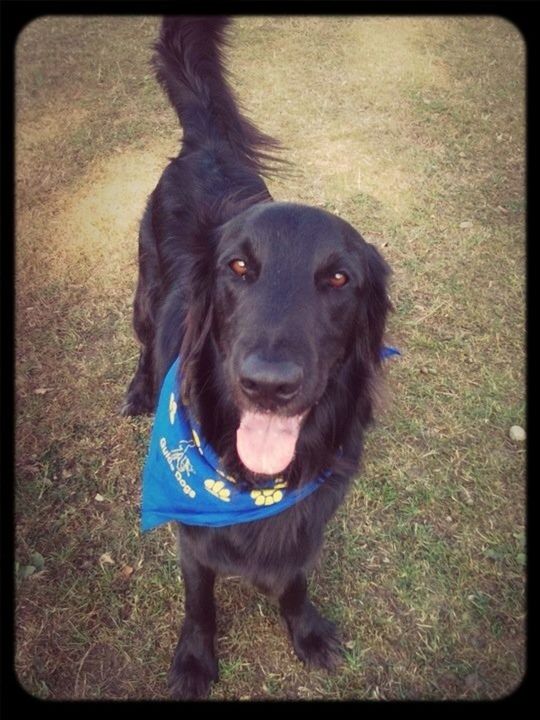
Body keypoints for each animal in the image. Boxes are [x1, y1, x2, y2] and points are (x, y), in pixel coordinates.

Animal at [124, 16, 390, 700]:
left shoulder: (306, 527)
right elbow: (200, 601)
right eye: (238, 268)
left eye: (339, 280)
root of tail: (206, 147)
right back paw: (138, 388)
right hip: (144, 293)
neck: (250, 484)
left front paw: (307, 630)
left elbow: (294, 580)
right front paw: (195, 659)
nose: (268, 385)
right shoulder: (193, 539)